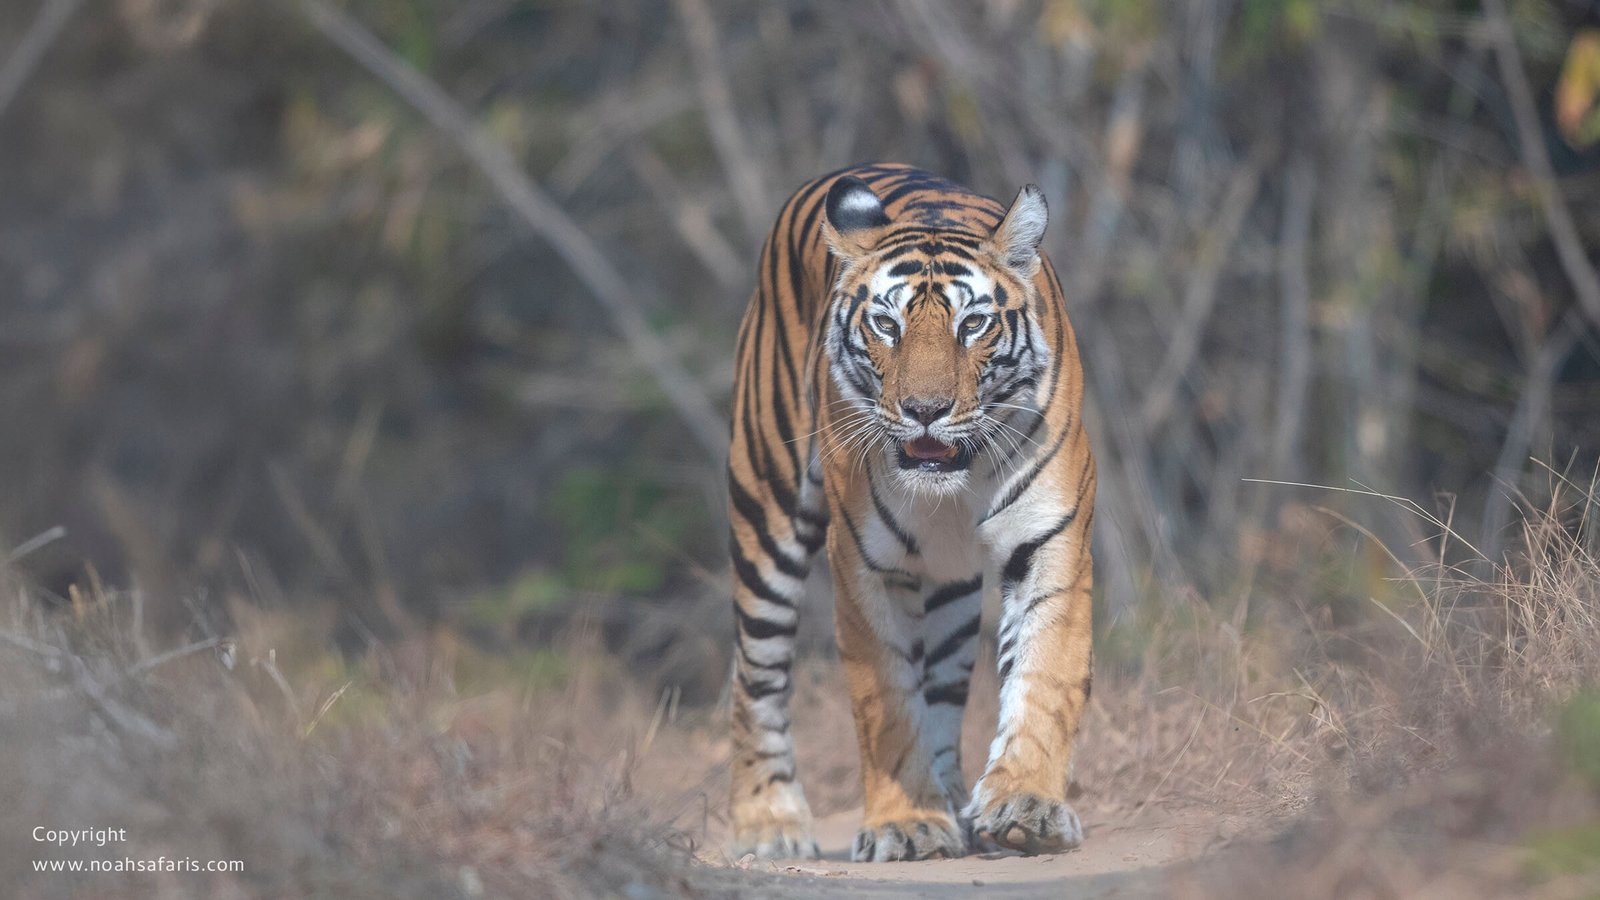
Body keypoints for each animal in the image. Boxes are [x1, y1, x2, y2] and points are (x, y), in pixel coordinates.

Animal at [726, 163, 1096, 862]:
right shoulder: (865, 565)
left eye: (972, 325)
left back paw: (954, 799)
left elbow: (1045, 677)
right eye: (886, 326)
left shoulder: (1050, 540)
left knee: (944, 687)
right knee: (756, 673)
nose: (926, 410)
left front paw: (1024, 807)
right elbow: (888, 701)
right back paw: (767, 822)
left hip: (950, 586)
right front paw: (907, 824)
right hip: (766, 510)